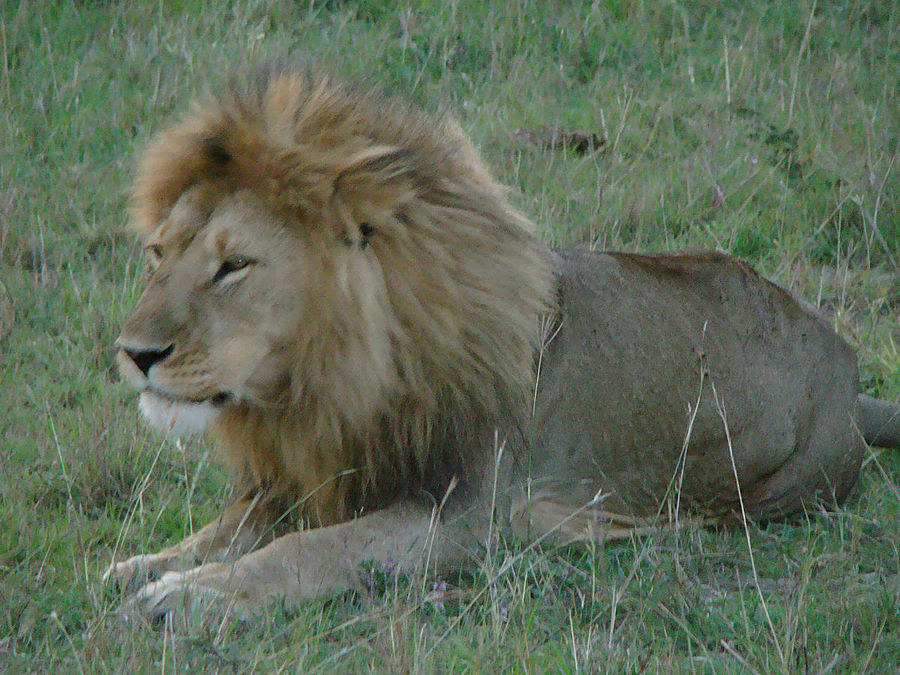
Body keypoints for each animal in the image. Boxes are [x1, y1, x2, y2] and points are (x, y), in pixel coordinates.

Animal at [109, 66, 900, 620]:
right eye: (157, 253)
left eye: (234, 264)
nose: (134, 354)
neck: (330, 380)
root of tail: (846, 368)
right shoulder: (317, 471)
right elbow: (224, 531)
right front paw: (144, 565)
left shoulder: (463, 513)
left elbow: (311, 550)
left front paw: (196, 597)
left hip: (773, 495)